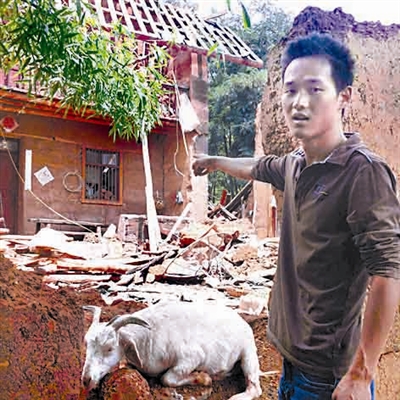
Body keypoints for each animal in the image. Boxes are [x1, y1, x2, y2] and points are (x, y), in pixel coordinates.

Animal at [81, 301, 263, 400]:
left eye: (110, 348)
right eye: (87, 345)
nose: (86, 380)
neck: (148, 337)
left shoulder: (192, 358)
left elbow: (166, 379)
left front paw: (204, 377)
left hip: (248, 353)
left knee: (255, 388)